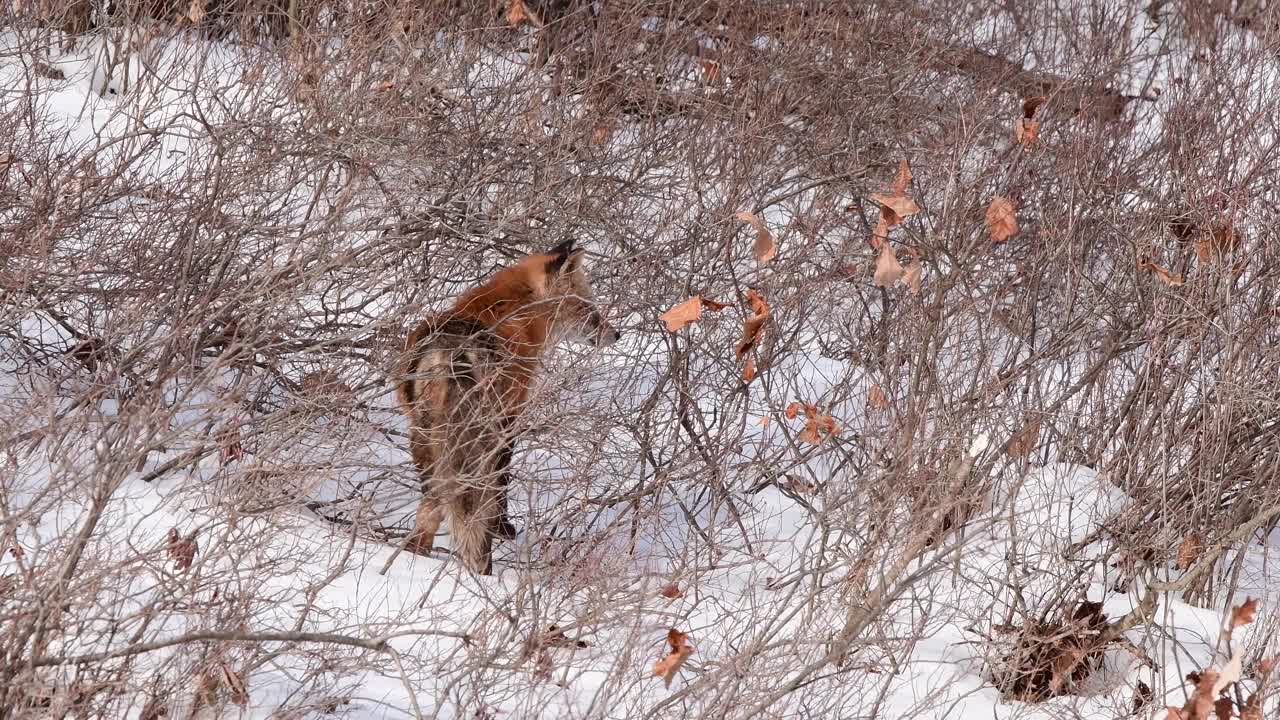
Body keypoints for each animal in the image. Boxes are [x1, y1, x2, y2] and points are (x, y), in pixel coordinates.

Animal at [399, 239, 619, 571]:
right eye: (586, 306)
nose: (615, 334)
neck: (514, 313)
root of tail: (454, 353)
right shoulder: (510, 419)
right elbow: (503, 482)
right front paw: (503, 528)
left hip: (424, 439)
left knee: (430, 507)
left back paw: (416, 557)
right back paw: (481, 568)